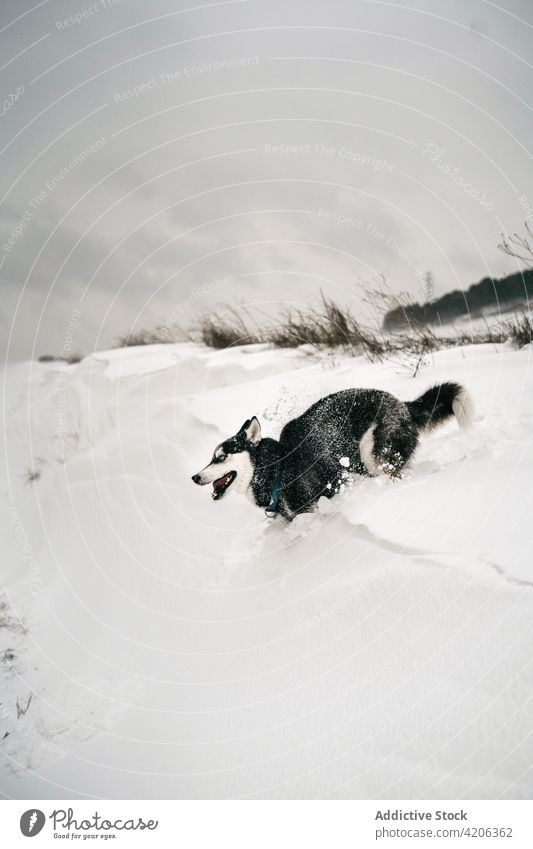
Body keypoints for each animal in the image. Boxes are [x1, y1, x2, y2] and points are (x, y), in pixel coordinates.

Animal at [191, 382, 474, 516]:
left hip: (372, 454)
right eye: (211, 457)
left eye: (221, 457)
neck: (277, 469)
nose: (194, 477)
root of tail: (402, 404)